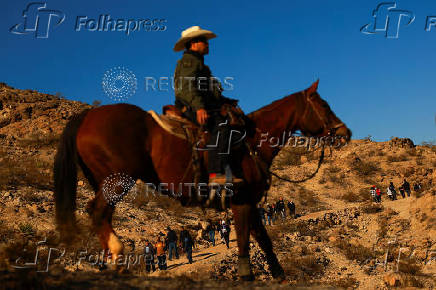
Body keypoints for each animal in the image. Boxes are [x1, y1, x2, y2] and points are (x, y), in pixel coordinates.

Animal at [52, 80, 350, 280]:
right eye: (324, 105)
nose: (345, 133)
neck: (251, 141)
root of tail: (88, 116)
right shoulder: (241, 202)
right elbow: (245, 241)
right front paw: (247, 276)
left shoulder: (250, 203)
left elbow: (263, 239)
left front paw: (279, 275)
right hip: (116, 182)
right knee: (98, 213)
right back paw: (118, 258)